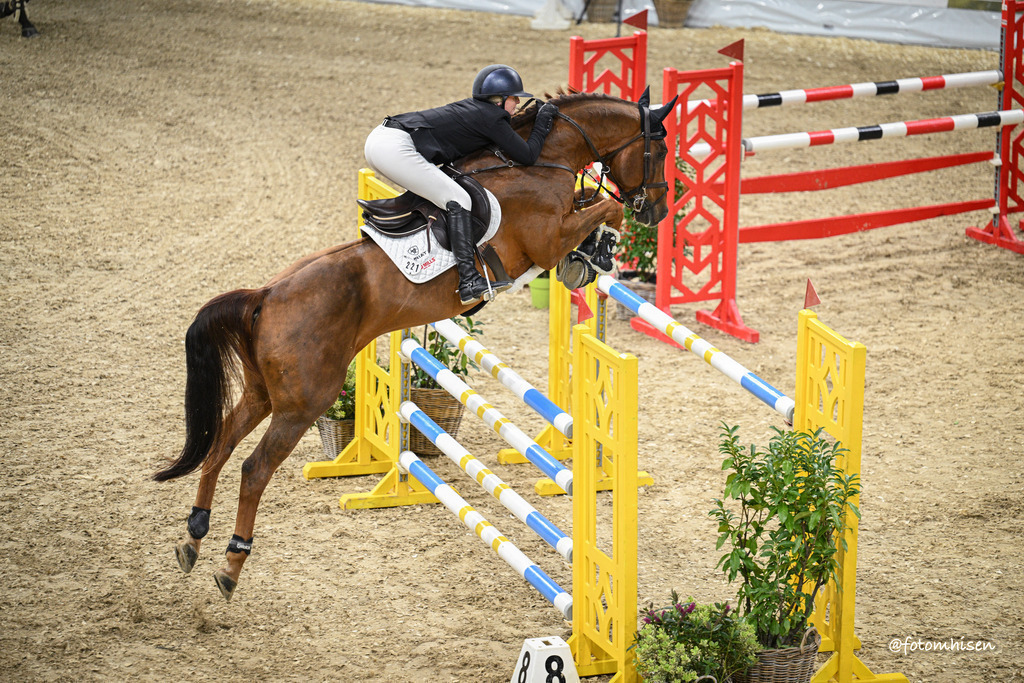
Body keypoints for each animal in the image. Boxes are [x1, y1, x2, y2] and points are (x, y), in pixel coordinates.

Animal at [154, 89, 674, 601]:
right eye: (663, 150)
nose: (657, 210)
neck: (545, 160)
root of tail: (264, 296)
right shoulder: (547, 239)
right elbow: (604, 208)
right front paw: (599, 248)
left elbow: (593, 200)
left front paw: (588, 255)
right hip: (303, 403)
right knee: (253, 469)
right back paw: (230, 564)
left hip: (265, 392)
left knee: (221, 442)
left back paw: (192, 537)